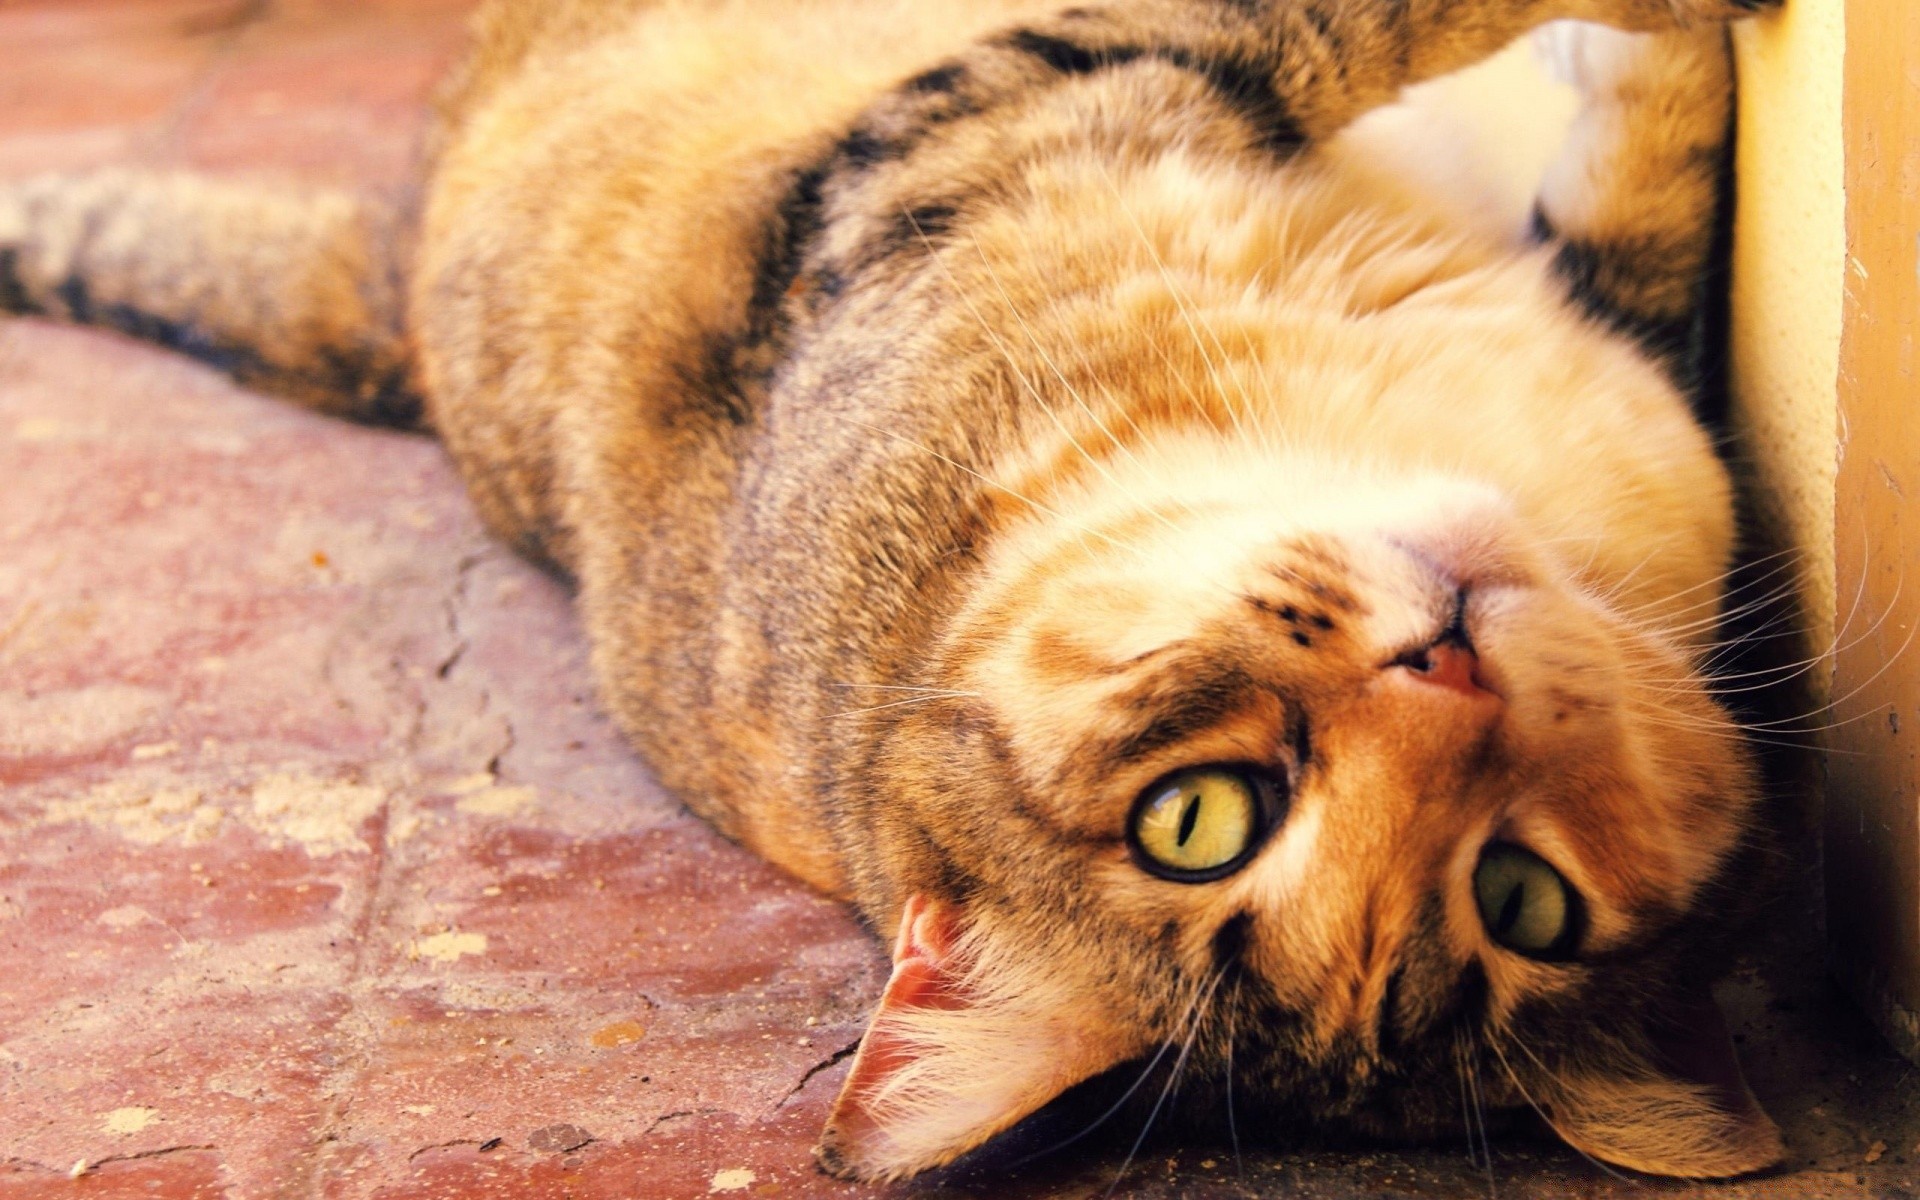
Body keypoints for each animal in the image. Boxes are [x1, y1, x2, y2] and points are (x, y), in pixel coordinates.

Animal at [0, 0, 1781, 1182]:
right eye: (1202, 820)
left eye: (1521, 898)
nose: (1451, 664)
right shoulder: (976, 120)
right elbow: (1371, 21)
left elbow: (1644, 182)